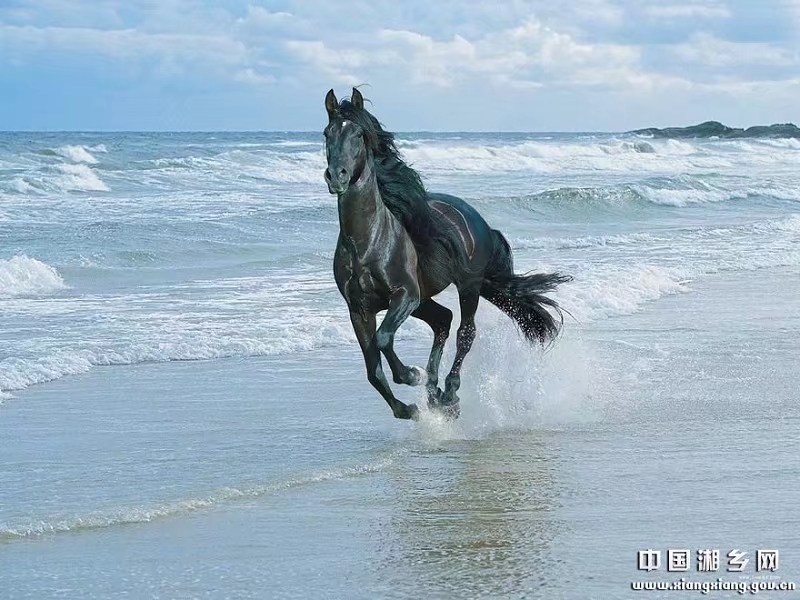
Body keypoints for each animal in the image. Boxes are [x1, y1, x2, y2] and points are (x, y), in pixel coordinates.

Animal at [324, 88, 571, 420]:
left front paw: (411, 375)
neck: (368, 243)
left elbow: (384, 339)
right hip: (425, 300)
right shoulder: (359, 309)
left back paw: (449, 393)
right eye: (327, 133)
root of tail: (478, 220)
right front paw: (408, 408)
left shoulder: (405, 295)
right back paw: (435, 393)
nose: (336, 176)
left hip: (467, 286)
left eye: (359, 134)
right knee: (443, 320)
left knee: (465, 332)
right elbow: (373, 370)